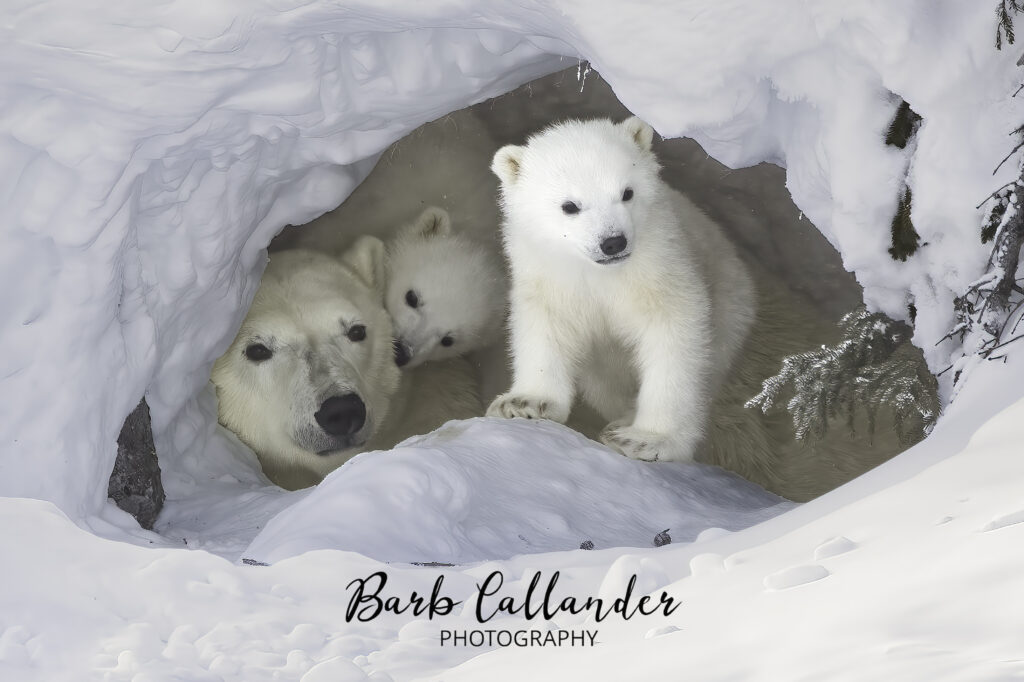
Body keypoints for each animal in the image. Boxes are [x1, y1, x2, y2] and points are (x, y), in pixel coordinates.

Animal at [485, 116, 756, 464]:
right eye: (570, 206)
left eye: (627, 192)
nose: (613, 242)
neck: (604, 274)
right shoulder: (552, 277)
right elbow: (547, 326)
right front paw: (523, 404)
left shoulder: (659, 266)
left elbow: (672, 333)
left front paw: (646, 440)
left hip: (731, 300)